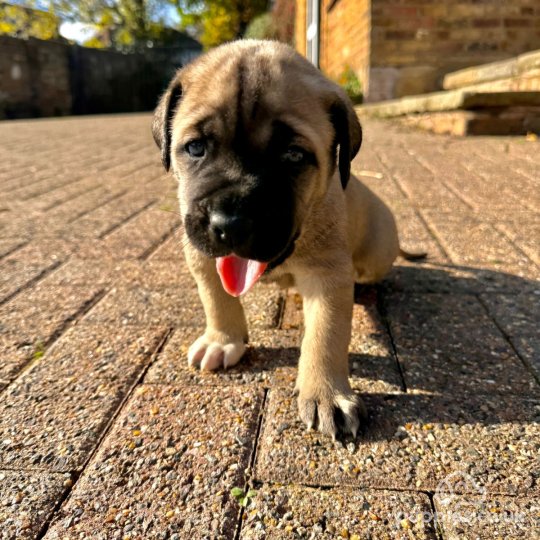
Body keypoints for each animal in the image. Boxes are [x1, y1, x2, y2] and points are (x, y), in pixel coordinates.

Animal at [154, 42, 420, 438]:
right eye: (196, 148)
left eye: (293, 155)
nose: (230, 223)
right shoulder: (201, 256)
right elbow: (217, 299)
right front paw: (222, 339)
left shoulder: (328, 277)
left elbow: (325, 336)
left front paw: (327, 394)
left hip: (376, 253)